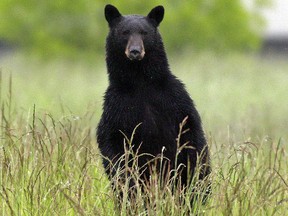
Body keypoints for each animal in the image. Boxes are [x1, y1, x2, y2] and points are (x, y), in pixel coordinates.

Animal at [97, 3, 212, 201]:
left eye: (144, 32)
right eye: (125, 32)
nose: (135, 51)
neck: (140, 82)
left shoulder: (175, 99)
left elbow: (192, 133)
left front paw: (195, 176)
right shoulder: (116, 106)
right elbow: (111, 141)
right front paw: (127, 179)